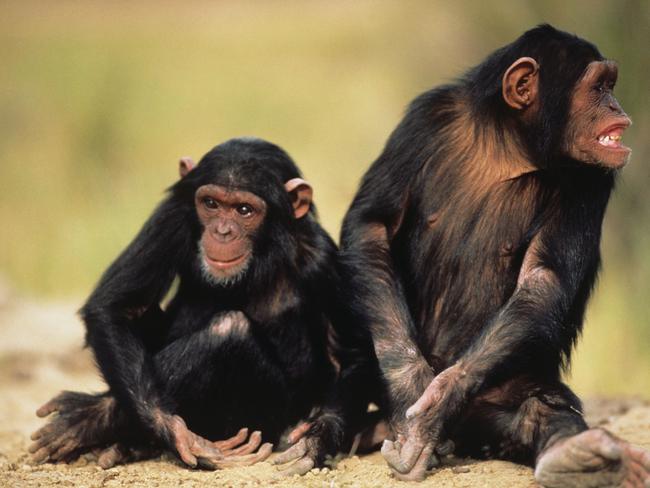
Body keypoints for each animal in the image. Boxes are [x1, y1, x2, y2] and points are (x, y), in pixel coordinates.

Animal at [30, 136, 346, 472]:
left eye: (244, 210)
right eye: (211, 204)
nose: (222, 231)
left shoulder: (323, 258)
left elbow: (342, 355)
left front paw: (317, 439)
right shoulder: (170, 219)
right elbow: (117, 306)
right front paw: (173, 430)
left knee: (229, 330)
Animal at [340, 24, 648, 486]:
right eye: (599, 87)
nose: (616, 104)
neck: (509, 147)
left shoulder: (591, 176)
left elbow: (543, 275)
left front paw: (437, 403)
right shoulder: (423, 120)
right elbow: (372, 224)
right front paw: (410, 385)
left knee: (538, 406)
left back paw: (580, 457)